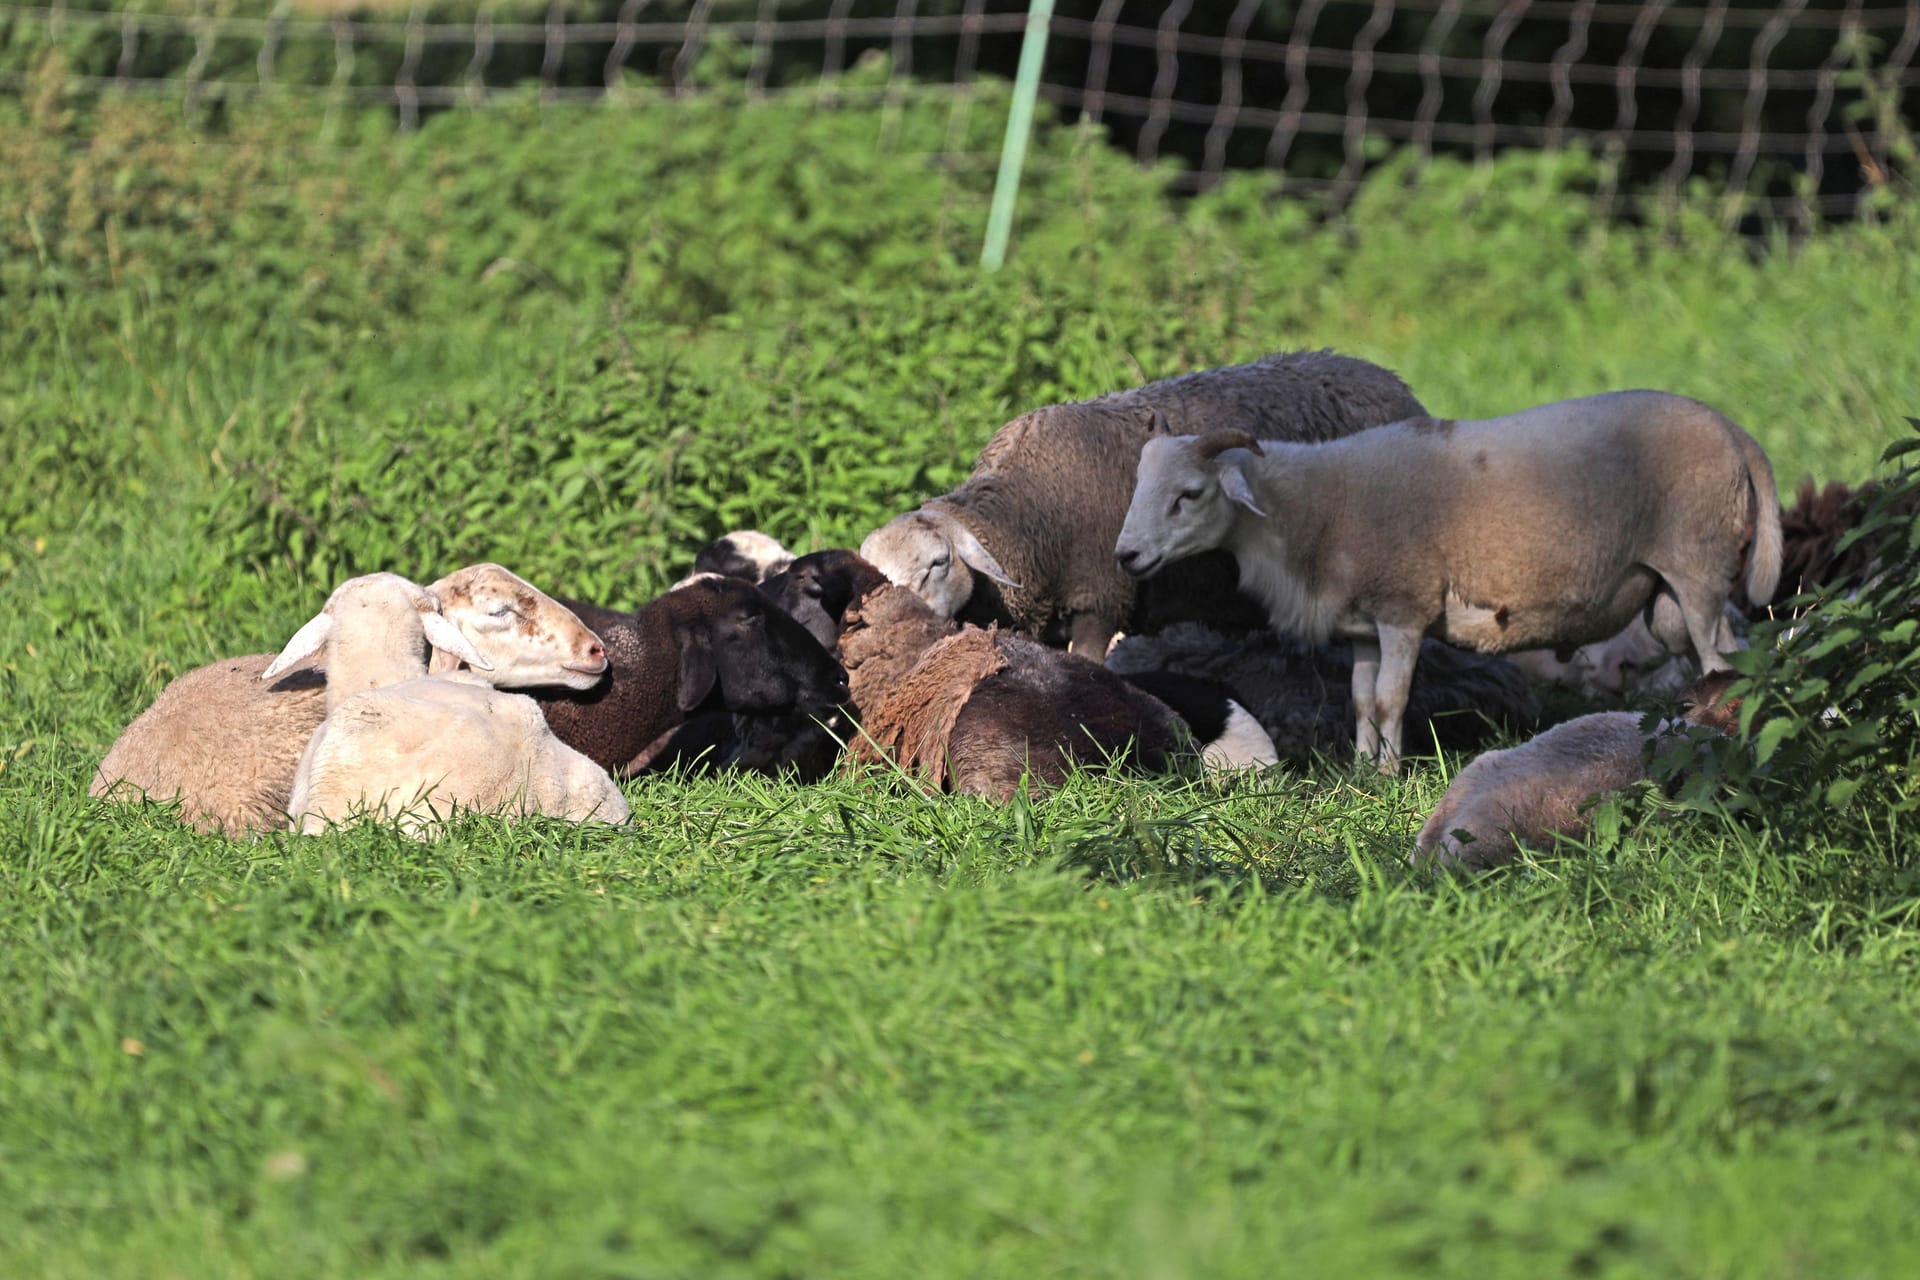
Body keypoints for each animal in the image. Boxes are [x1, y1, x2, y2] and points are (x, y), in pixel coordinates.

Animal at [1113, 391, 1781, 771]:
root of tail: (1735, 432)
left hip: (1698, 566)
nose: (1126, 555)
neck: (1309, 510)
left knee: (1722, 661)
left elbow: (1391, 698)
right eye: (1139, 487)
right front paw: (1360, 772)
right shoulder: (1364, 622)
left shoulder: (1404, 606)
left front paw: (1389, 777)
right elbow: (1360, 699)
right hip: (1669, 599)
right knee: (1712, 663)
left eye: (1190, 494)